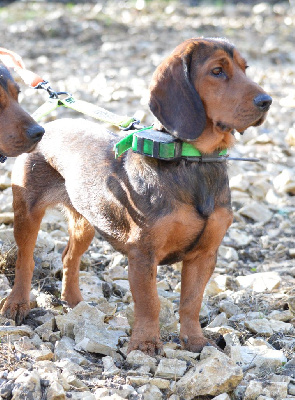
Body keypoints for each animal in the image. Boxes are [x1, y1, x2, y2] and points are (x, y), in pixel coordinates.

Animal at [1, 38, 272, 354]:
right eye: (217, 71)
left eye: (245, 68)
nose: (266, 101)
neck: (193, 161)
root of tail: (48, 126)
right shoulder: (143, 253)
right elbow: (149, 302)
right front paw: (145, 344)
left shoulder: (205, 254)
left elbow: (191, 302)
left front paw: (194, 341)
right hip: (27, 212)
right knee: (25, 260)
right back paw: (17, 304)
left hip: (85, 221)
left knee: (69, 257)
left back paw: (75, 303)